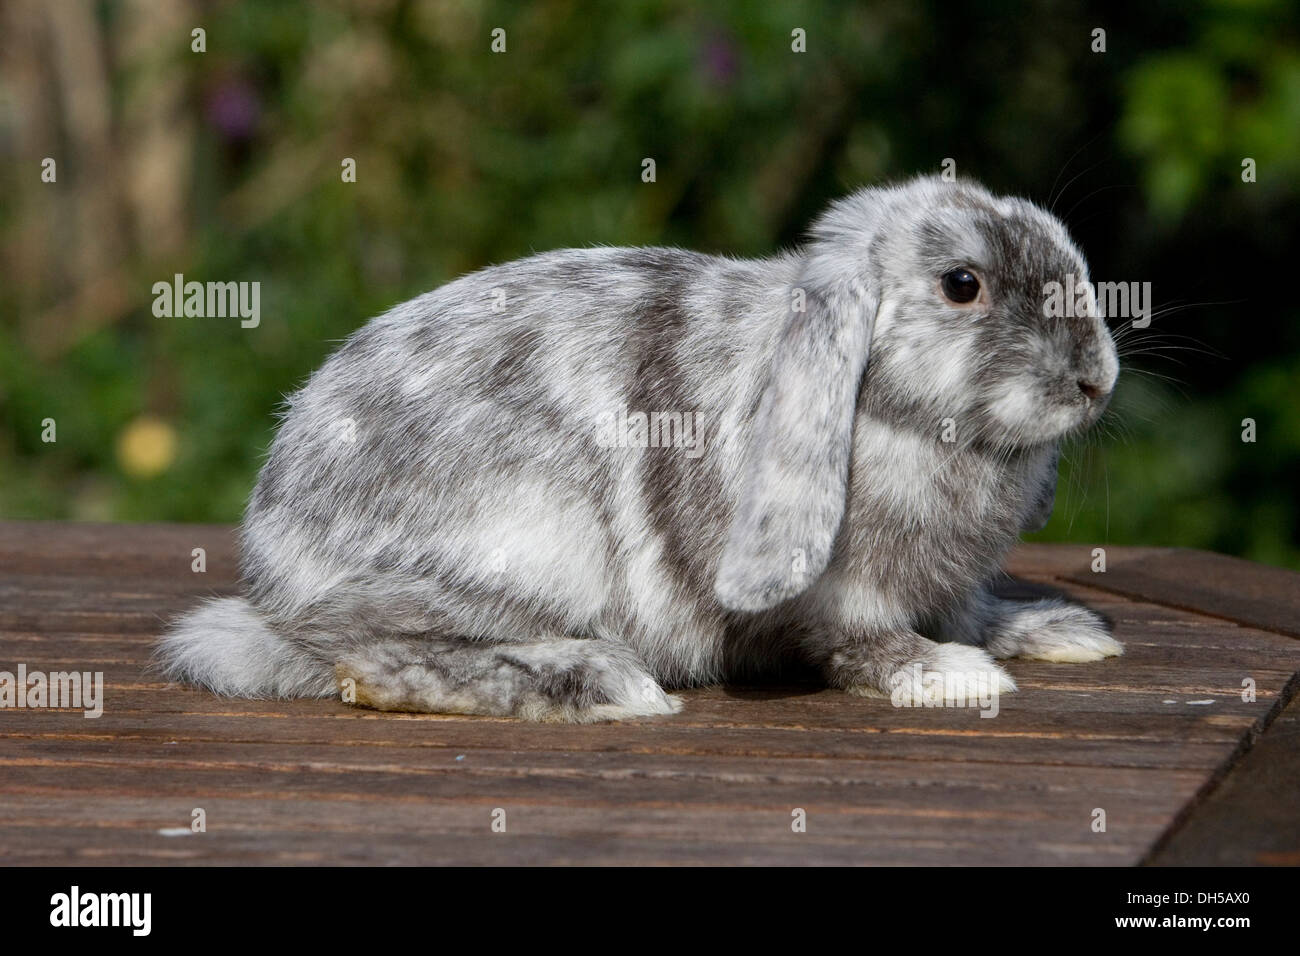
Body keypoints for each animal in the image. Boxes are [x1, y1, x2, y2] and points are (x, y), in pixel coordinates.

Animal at [157, 175, 1123, 723]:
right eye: (963, 285)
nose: (1096, 380)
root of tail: (272, 586)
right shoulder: (838, 595)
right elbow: (861, 644)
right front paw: (950, 675)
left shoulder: (951, 586)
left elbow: (974, 608)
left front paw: (1059, 632)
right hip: (524, 551)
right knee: (371, 658)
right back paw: (609, 686)